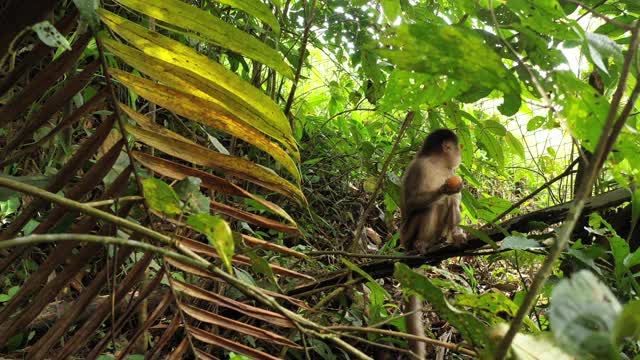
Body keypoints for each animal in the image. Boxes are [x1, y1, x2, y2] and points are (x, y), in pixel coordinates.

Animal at [400, 128, 464, 358]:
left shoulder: (450, 172)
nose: (460, 156)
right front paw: (445, 189)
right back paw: (420, 245)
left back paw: (444, 241)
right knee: (429, 207)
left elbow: (455, 199)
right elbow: (413, 202)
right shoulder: (421, 167)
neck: (437, 164)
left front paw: (458, 234)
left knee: (447, 204)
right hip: (406, 235)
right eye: (458, 148)